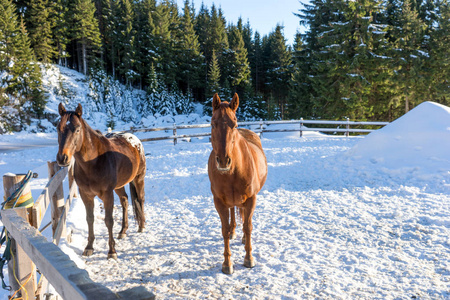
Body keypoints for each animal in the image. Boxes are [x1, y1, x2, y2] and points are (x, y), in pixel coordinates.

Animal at [55, 103, 145, 258]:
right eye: (57, 128)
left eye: (77, 129)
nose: (62, 158)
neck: (93, 162)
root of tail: (134, 139)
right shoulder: (86, 195)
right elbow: (89, 219)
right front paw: (89, 247)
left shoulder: (107, 194)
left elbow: (109, 221)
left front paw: (112, 251)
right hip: (119, 186)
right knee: (125, 200)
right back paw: (123, 231)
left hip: (139, 179)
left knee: (140, 199)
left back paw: (142, 226)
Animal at [207, 94, 268, 274]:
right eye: (213, 123)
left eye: (234, 124)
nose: (223, 161)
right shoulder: (219, 202)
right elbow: (225, 229)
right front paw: (227, 263)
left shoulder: (251, 199)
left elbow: (248, 227)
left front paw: (249, 259)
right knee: (233, 213)